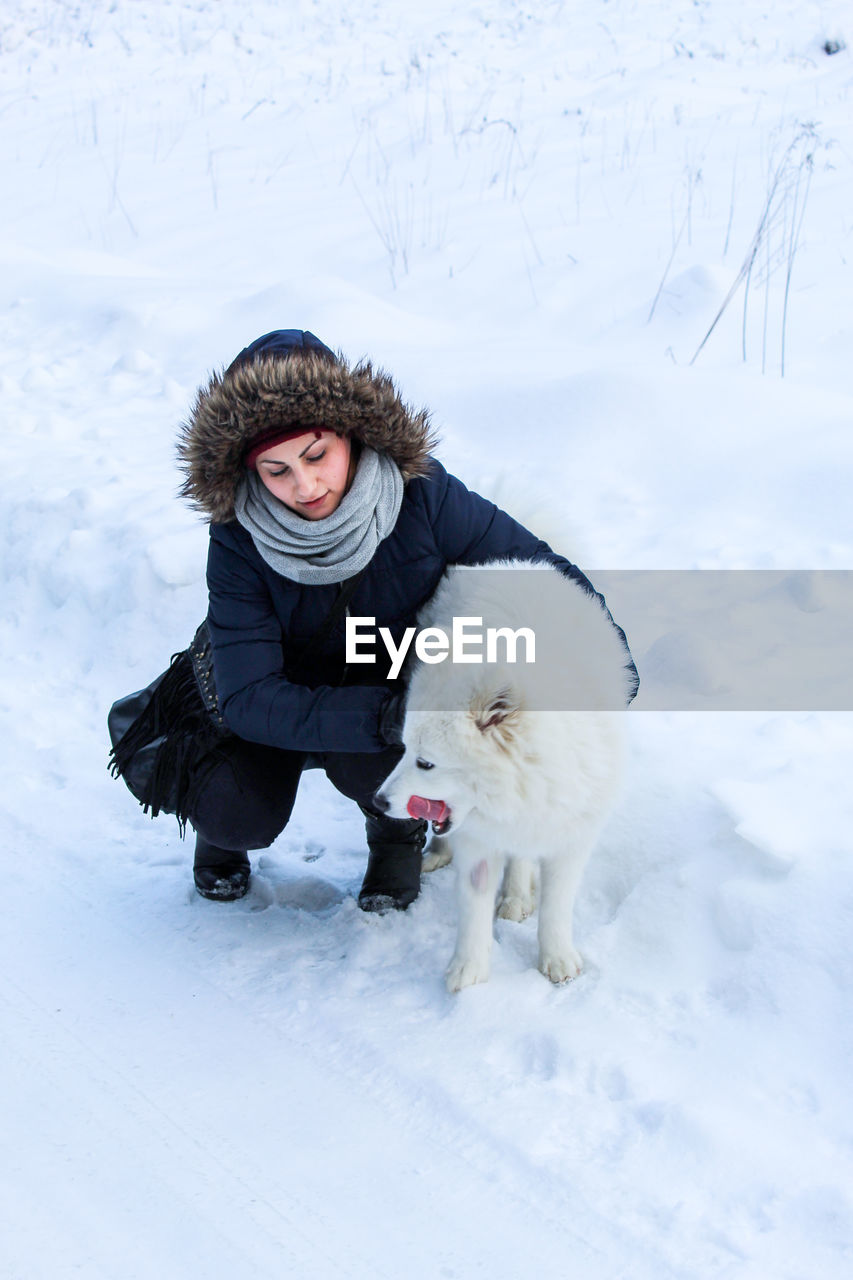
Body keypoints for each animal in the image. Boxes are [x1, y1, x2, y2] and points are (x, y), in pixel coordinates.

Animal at [376, 558, 627, 988]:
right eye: (404, 749)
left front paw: (556, 958)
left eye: (425, 763)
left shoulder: (571, 834)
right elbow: (473, 904)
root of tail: (508, 563)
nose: (378, 801)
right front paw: (469, 969)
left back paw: (516, 895)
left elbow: (557, 905)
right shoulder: (479, 839)